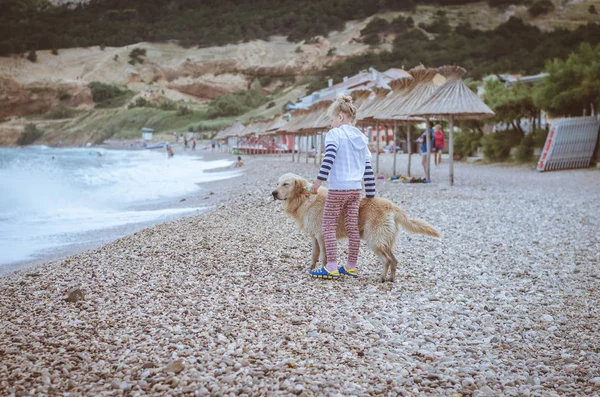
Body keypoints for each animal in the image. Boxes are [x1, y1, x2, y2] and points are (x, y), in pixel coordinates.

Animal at [274, 173, 440, 282]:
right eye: (277, 183)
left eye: (286, 184)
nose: (273, 193)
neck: (304, 197)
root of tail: (392, 206)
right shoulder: (314, 236)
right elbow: (314, 255)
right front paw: (310, 268)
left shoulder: (322, 235)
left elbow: (324, 256)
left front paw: (324, 270)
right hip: (384, 241)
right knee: (394, 260)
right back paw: (391, 279)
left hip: (374, 241)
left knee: (386, 260)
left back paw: (381, 278)